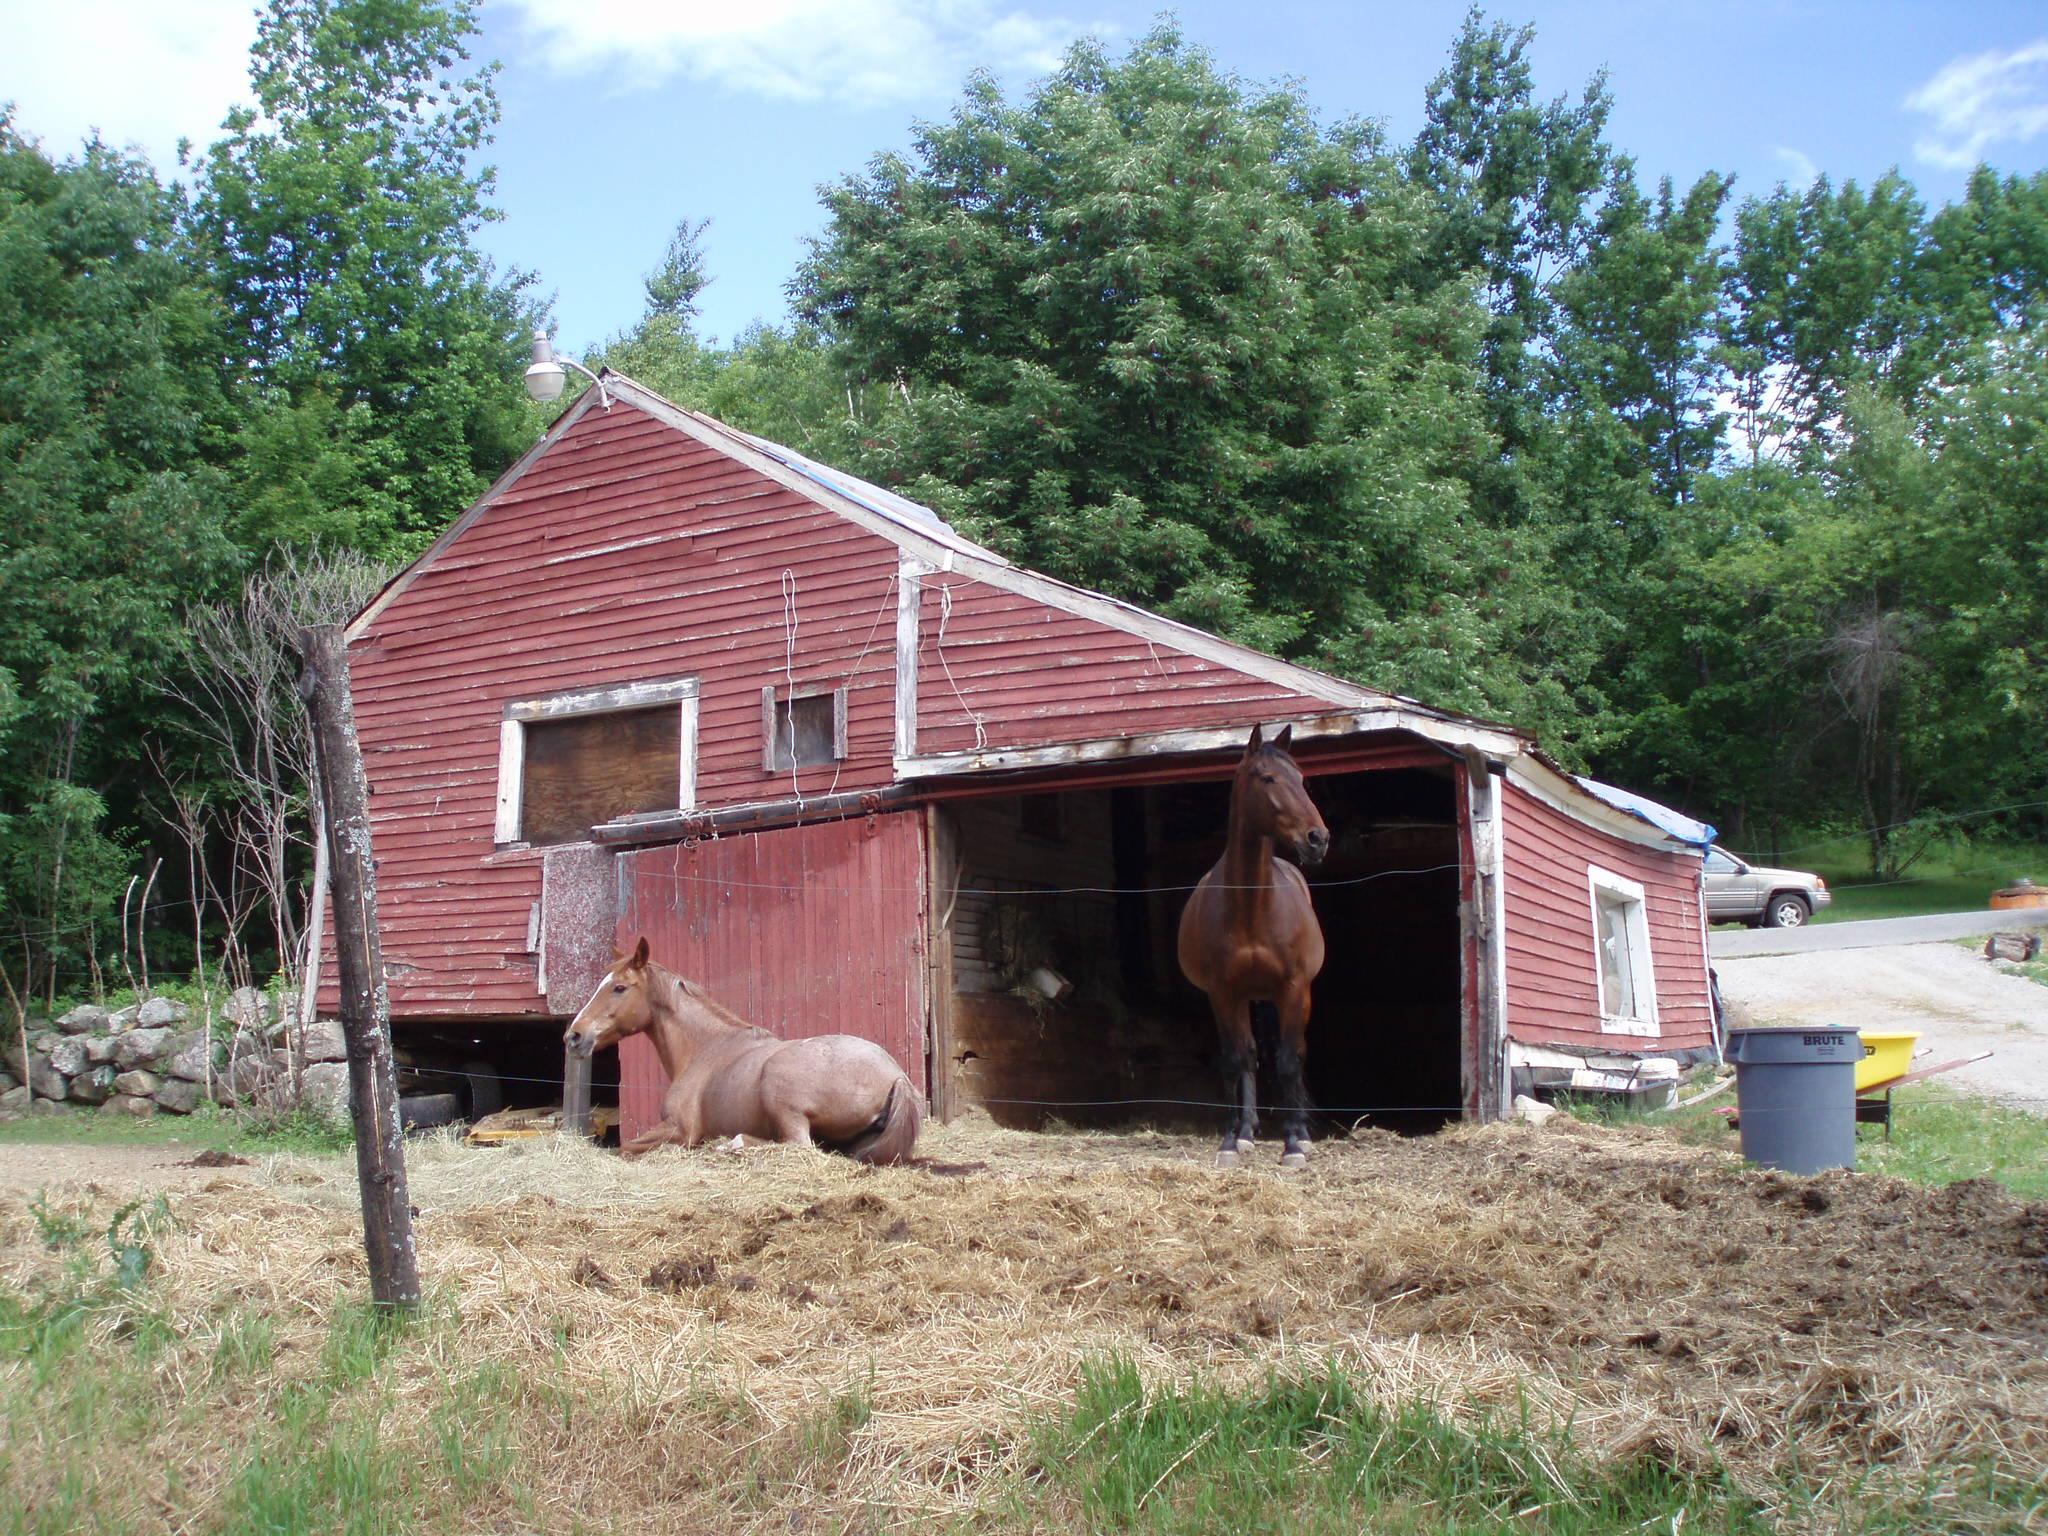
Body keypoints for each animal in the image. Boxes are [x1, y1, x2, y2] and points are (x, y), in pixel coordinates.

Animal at [552, 937, 921, 1163]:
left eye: (619, 987)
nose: (574, 1036)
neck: (705, 1047)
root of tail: (895, 1076)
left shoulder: (680, 1129)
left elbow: (624, 1148)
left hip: (780, 1096)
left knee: (797, 1146)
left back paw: (730, 1144)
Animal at [1187, 729, 1327, 1171]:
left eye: (1302, 779)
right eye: (1267, 778)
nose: (1318, 839)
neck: (1252, 906)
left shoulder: (1293, 989)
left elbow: (1288, 1060)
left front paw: (1294, 1145)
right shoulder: (1223, 993)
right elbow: (1237, 1059)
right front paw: (1231, 1141)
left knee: (1294, 1054)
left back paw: (1301, 1134)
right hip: (1246, 998)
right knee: (1249, 1056)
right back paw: (1247, 1132)